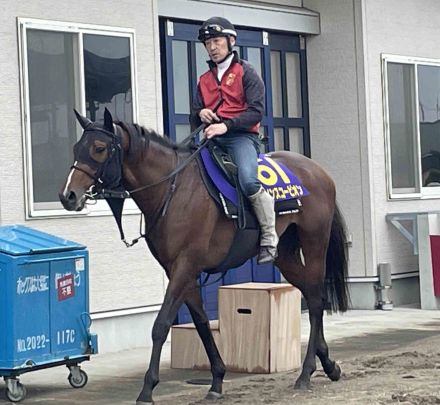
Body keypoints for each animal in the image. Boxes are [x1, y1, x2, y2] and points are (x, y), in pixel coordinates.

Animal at [58, 108, 348, 404]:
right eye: (76, 148)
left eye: (99, 148)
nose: (68, 195)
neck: (173, 189)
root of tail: (319, 171)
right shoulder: (180, 270)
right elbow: (201, 323)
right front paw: (217, 380)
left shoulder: (185, 266)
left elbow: (161, 325)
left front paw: (147, 388)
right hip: (286, 254)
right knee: (312, 294)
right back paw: (328, 364)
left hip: (314, 242)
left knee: (316, 300)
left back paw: (306, 372)